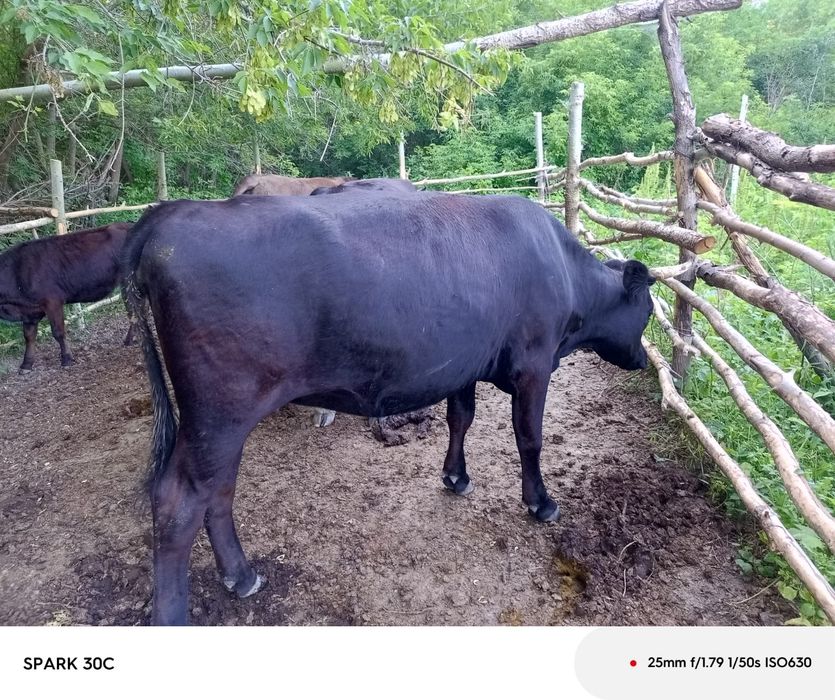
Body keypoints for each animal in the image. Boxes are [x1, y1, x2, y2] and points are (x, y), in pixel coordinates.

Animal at [0, 222, 133, 372]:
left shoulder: (52, 301)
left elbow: (58, 332)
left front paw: (67, 358)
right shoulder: (30, 311)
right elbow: (29, 336)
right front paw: (26, 364)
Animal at [123, 191, 655, 625]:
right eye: (649, 310)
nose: (646, 360)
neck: (561, 269)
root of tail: (171, 215)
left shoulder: (464, 362)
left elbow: (460, 419)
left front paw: (455, 476)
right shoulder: (534, 364)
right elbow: (530, 437)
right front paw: (540, 502)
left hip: (221, 423)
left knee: (219, 490)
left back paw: (241, 575)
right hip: (218, 413)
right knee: (178, 501)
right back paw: (175, 614)